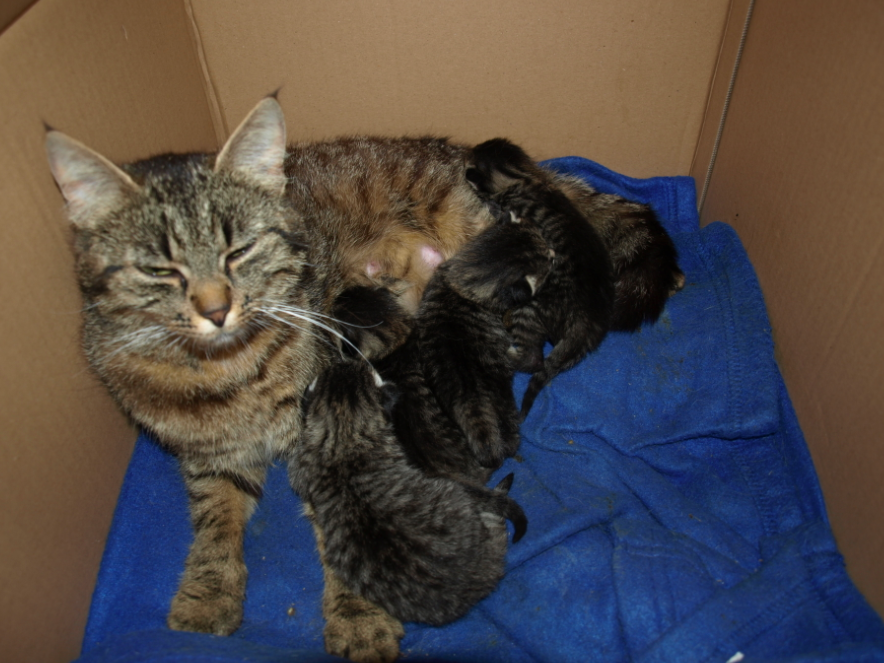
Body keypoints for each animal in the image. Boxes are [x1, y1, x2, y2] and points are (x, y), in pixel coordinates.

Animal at [467, 138, 616, 418]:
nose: (465, 166)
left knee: (533, 358)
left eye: (473, 163)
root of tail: (587, 326)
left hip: (533, 306)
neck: (525, 179)